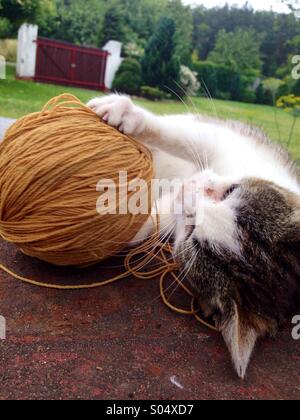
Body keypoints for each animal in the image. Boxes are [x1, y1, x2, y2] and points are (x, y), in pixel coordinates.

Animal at [87, 93, 300, 378]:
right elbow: (189, 136)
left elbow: (155, 219)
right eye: (231, 190)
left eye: (192, 237)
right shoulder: (237, 146)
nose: (188, 188)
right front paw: (127, 114)